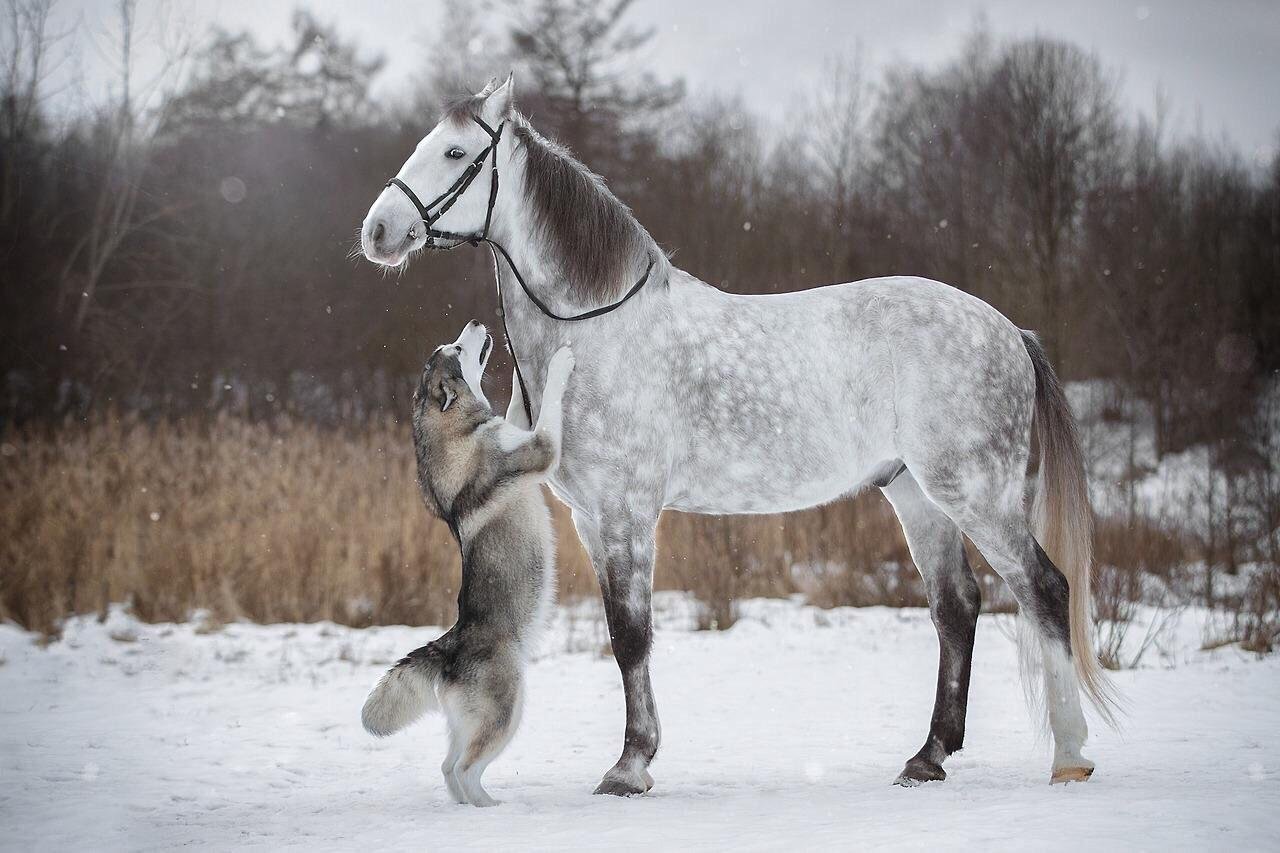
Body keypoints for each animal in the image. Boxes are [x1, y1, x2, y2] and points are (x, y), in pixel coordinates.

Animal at [363, 318, 578, 804]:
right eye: (457, 348)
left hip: (473, 722)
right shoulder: (540, 448)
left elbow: (517, 407)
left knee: (448, 767)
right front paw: (560, 360)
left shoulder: (519, 431)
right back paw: (489, 808)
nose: (479, 322)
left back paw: (470, 806)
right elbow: (549, 410)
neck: (458, 430)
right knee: (463, 768)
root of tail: (448, 648)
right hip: (506, 712)